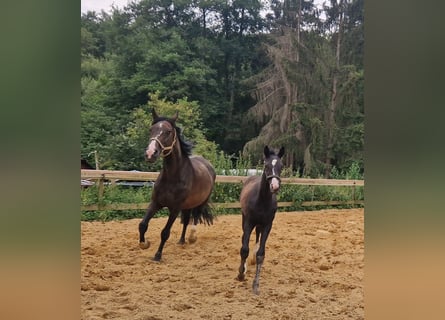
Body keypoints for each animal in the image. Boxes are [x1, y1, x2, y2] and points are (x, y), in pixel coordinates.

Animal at [139, 109, 215, 262]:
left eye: (168, 131)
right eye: (151, 129)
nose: (150, 154)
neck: (172, 177)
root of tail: (208, 165)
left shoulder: (174, 209)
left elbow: (165, 232)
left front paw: (157, 255)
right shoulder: (155, 203)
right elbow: (143, 224)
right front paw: (144, 244)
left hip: (201, 202)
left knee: (195, 218)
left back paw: (192, 238)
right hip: (187, 205)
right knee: (186, 221)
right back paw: (181, 240)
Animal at [236, 145, 284, 296]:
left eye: (281, 166)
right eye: (266, 165)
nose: (275, 186)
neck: (261, 200)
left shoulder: (268, 225)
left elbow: (260, 255)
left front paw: (256, 285)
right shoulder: (249, 222)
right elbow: (244, 249)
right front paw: (241, 274)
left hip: (260, 225)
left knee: (257, 237)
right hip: (244, 218)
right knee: (243, 239)